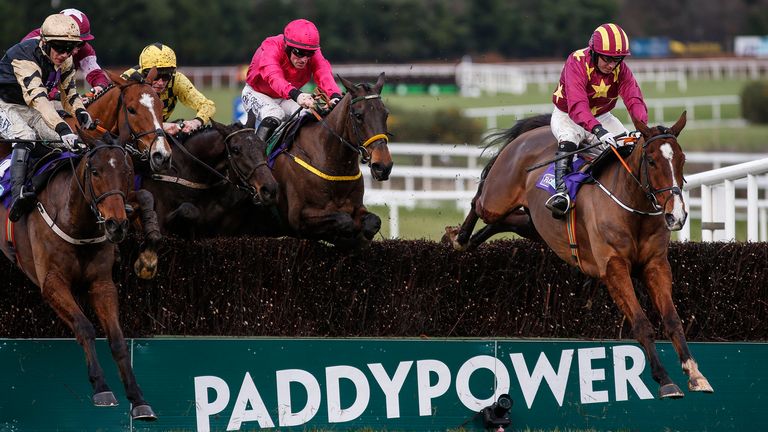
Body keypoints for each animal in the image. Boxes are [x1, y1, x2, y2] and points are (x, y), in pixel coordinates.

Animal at [0, 133, 156, 420]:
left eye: (128, 172)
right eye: (95, 172)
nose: (117, 225)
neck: (77, 223)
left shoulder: (102, 284)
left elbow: (117, 339)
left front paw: (138, 399)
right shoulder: (52, 283)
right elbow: (84, 327)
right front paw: (101, 388)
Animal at [249, 74, 392, 248]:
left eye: (386, 114)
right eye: (358, 116)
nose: (383, 166)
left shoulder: (357, 207)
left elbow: (373, 222)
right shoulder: (298, 218)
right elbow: (344, 221)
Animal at [444, 110, 712, 398]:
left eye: (682, 160)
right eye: (651, 161)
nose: (676, 216)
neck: (632, 207)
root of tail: (528, 135)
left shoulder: (656, 265)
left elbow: (672, 319)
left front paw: (695, 373)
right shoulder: (613, 267)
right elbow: (641, 323)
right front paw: (665, 379)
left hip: (535, 226)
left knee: (504, 222)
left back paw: (467, 240)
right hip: (497, 198)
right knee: (478, 203)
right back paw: (459, 238)